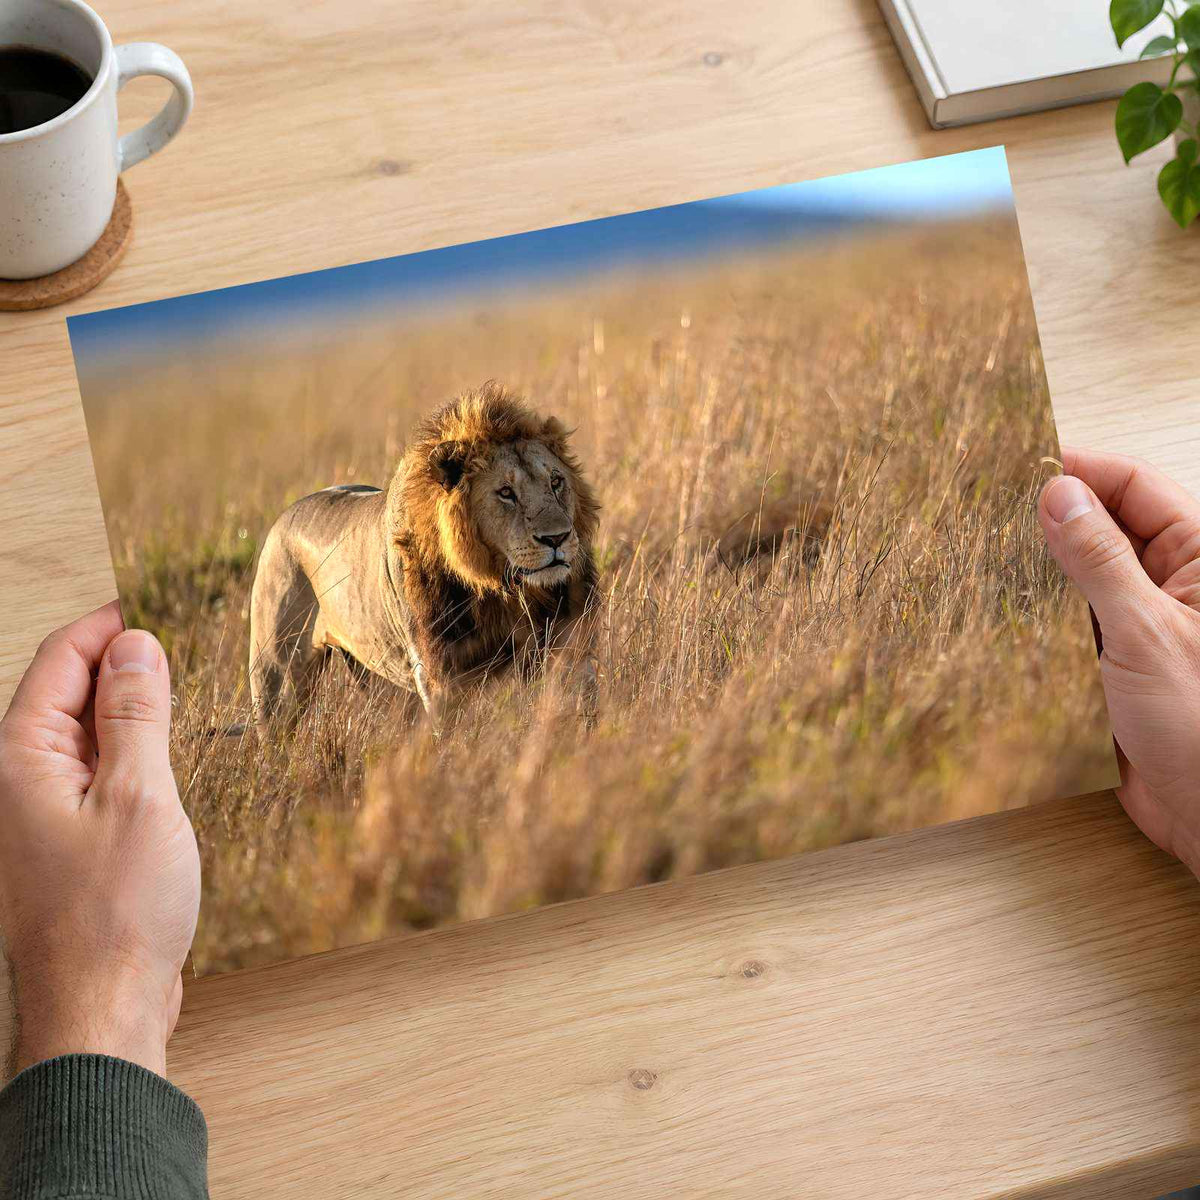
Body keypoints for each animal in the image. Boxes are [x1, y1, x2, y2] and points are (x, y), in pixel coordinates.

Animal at [248, 382, 601, 735]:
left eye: (556, 482)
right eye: (505, 493)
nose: (556, 538)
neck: (502, 589)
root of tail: (281, 521)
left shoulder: (573, 648)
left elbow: (583, 710)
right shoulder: (442, 678)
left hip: (381, 676)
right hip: (278, 677)